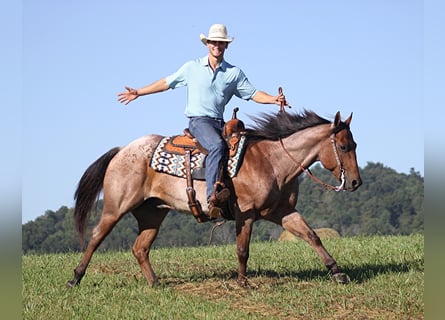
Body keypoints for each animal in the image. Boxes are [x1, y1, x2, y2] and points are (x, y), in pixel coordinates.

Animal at [67, 109, 362, 288]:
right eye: (344, 146)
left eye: (355, 145)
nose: (356, 182)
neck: (272, 161)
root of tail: (121, 150)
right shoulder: (246, 215)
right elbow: (243, 250)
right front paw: (243, 283)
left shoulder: (283, 213)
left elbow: (313, 236)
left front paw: (337, 272)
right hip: (116, 207)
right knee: (96, 236)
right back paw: (75, 278)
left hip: (152, 213)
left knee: (140, 248)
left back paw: (156, 284)